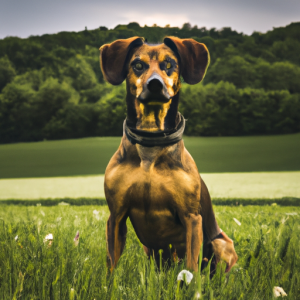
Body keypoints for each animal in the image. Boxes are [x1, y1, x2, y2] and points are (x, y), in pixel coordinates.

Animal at [99, 36, 238, 274]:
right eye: (138, 65)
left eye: (169, 64)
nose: (155, 84)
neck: (151, 141)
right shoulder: (116, 215)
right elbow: (111, 266)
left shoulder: (192, 218)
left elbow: (191, 269)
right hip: (150, 249)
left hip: (222, 243)